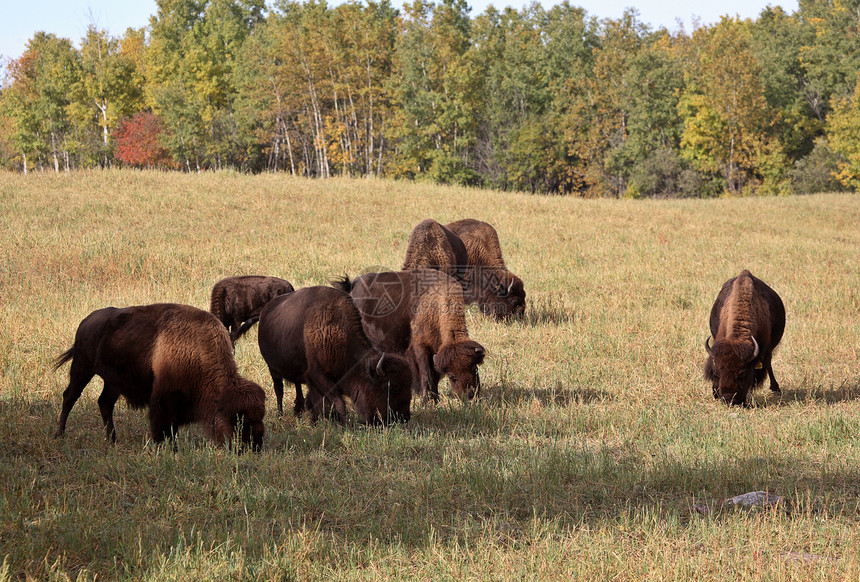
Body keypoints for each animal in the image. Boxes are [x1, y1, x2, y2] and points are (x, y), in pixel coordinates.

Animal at [53, 306, 266, 452]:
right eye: (238, 418)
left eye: (260, 416)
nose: (254, 446)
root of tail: (86, 321)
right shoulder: (164, 399)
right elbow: (163, 425)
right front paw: (167, 447)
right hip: (82, 367)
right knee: (70, 397)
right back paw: (59, 434)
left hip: (112, 382)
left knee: (104, 403)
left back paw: (112, 439)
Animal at [255, 286, 414, 426]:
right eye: (391, 387)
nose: (404, 417)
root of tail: (267, 310)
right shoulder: (318, 376)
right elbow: (337, 403)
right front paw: (344, 426)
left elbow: (315, 402)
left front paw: (318, 422)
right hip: (273, 370)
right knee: (279, 390)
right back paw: (280, 415)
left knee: (297, 387)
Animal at [334, 270, 484, 404]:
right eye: (452, 377)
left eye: (475, 369)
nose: (471, 397)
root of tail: (352, 286)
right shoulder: (421, 348)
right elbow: (427, 375)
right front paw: (427, 401)